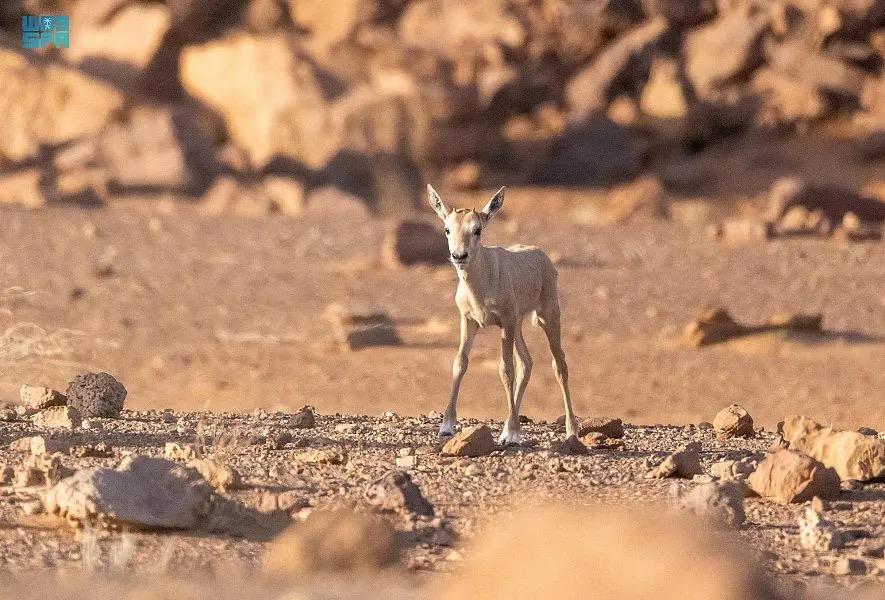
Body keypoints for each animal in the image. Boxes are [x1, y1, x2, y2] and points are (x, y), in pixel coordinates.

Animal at [430, 185, 580, 442]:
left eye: (477, 229)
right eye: (447, 229)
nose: (459, 256)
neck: (484, 276)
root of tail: (541, 255)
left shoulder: (505, 322)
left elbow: (505, 369)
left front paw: (513, 434)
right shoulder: (469, 321)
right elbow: (460, 362)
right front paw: (446, 426)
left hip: (547, 317)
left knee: (559, 365)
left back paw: (571, 429)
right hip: (518, 324)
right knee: (526, 363)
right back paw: (505, 430)